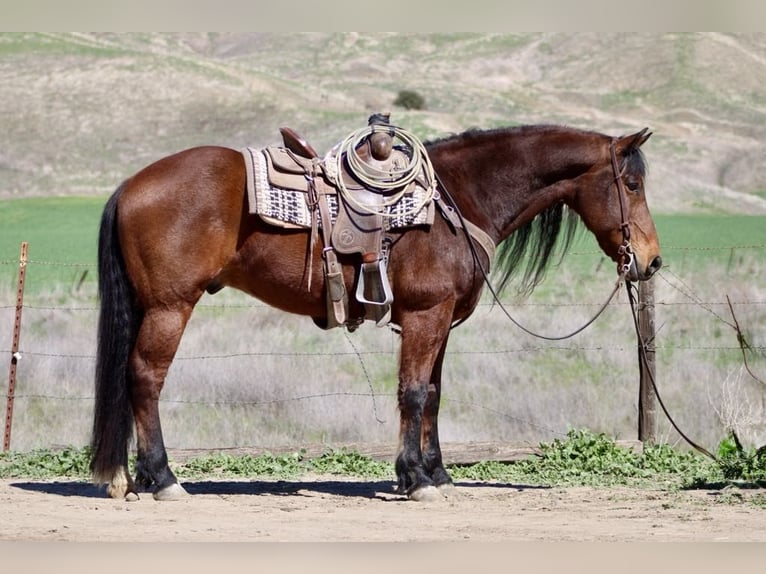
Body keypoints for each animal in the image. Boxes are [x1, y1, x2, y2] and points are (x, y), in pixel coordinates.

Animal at [91, 123, 662, 502]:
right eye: (632, 185)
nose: (651, 260)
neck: (456, 202)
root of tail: (130, 186)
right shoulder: (426, 315)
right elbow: (412, 393)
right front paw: (414, 478)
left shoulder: (441, 320)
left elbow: (433, 395)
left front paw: (437, 473)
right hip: (169, 307)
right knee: (145, 378)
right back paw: (164, 479)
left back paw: (133, 478)